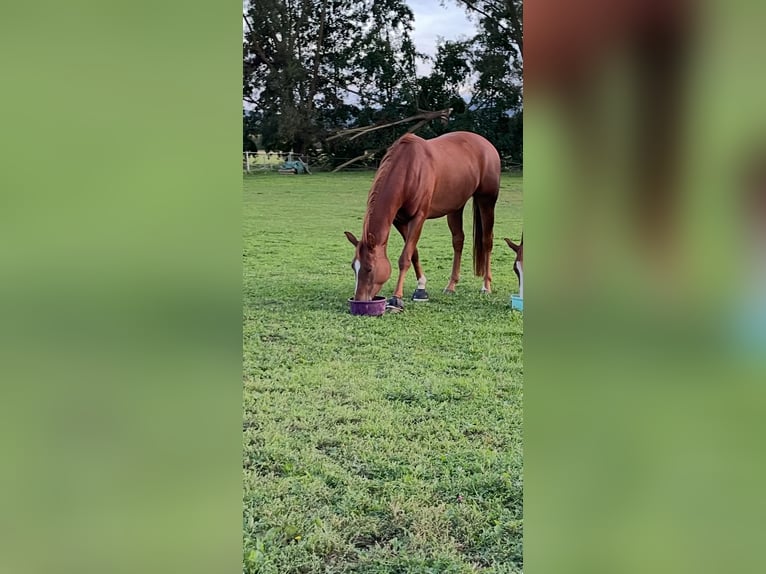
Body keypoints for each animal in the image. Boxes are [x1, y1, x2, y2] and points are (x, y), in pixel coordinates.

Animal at [344, 131, 501, 311]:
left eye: (369, 268)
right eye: (353, 267)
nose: (359, 300)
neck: (408, 169)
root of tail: (486, 144)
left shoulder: (418, 217)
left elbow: (405, 257)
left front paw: (396, 298)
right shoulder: (399, 221)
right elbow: (414, 253)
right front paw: (421, 289)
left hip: (486, 200)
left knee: (487, 241)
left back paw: (486, 286)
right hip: (456, 206)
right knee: (458, 241)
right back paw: (451, 285)